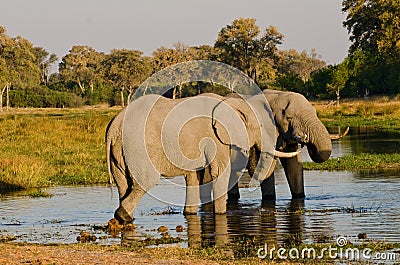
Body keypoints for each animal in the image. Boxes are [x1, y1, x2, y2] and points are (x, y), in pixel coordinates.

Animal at [104, 92, 298, 223]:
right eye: (260, 126)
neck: (231, 104)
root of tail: (114, 126)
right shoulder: (215, 137)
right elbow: (220, 172)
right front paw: (221, 215)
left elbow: (193, 176)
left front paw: (189, 214)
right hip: (137, 146)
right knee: (146, 181)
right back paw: (122, 216)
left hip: (118, 151)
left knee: (123, 184)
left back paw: (125, 217)